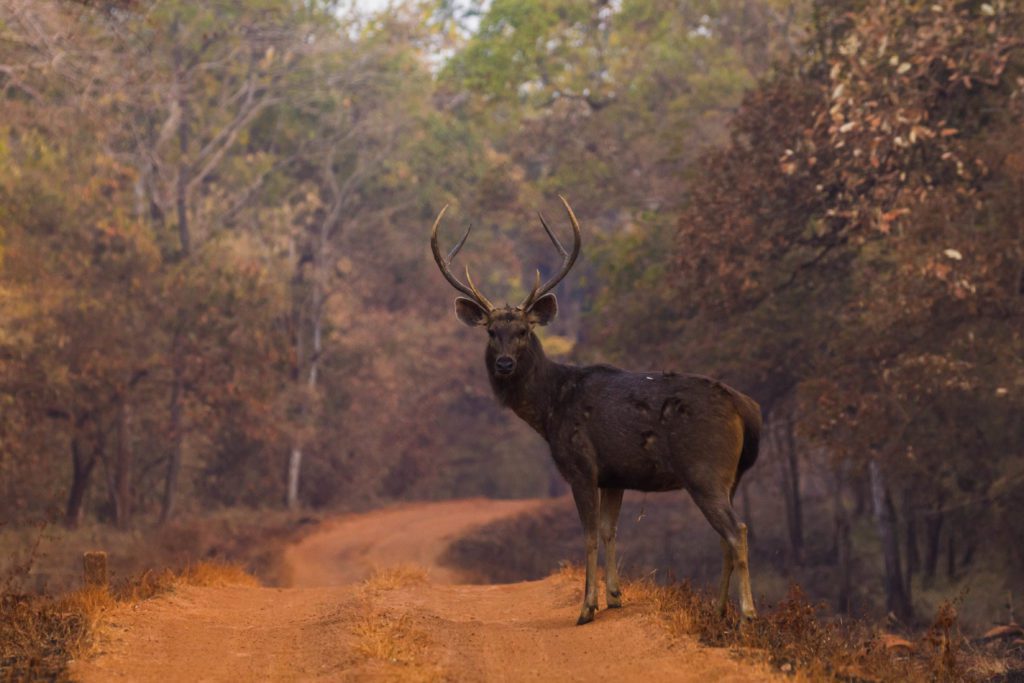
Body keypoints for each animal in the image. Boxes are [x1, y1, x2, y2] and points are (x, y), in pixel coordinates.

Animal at [425, 197, 761, 626]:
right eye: (490, 332)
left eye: (523, 331)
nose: (503, 363)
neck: (549, 409)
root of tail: (745, 408)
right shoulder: (615, 474)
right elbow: (608, 530)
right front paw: (615, 596)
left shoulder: (581, 463)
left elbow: (586, 534)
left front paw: (587, 606)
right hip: (731, 476)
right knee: (726, 536)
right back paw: (718, 611)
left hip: (705, 467)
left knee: (737, 530)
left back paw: (747, 614)